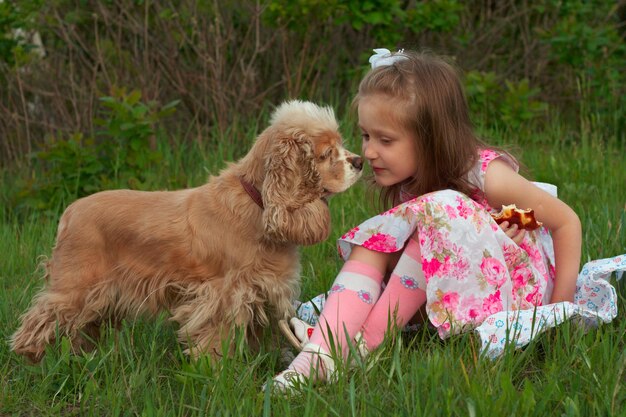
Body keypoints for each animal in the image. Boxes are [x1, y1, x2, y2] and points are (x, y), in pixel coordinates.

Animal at [11, 101, 360, 360]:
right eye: (326, 153)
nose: (358, 161)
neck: (259, 206)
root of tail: (68, 213)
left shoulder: (263, 291)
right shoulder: (223, 295)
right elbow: (218, 339)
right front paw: (216, 371)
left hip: (102, 296)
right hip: (75, 288)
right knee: (38, 319)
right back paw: (31, 358)